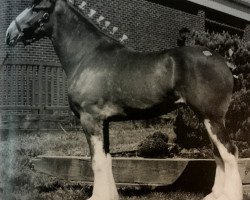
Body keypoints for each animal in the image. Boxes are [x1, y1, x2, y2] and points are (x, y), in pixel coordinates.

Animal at [4, 0, 242, 199]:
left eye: (36, 7)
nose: (9, 34)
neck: (87, 55)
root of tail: (224, 63)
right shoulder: (104, 122)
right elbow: (107, 159)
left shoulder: (90, 119)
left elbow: (97, 162)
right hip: (207, 118)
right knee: (218, 153)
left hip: (211, 117)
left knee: (229, 152)